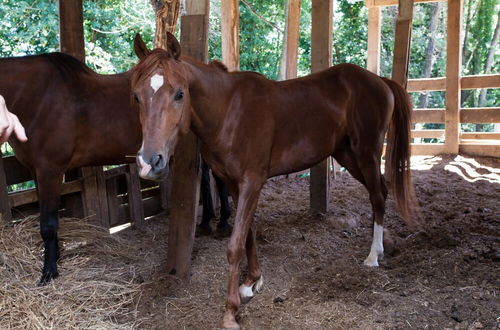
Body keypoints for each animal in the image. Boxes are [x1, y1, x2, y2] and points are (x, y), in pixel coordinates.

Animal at [0, 52, 230, 284]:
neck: (37, 97)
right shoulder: (37, 172)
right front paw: (55, 257)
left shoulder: (50, 171)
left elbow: (48, 224)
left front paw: (49, 272)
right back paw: (207, 222)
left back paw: (223, 224)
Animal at [133, 32, 418, 328]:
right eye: (136, 97)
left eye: (180, 93)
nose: (149, 162)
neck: (228, 112)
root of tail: (380, 81)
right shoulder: (233, 183)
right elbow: (248, 232)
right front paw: (252, 281)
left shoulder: (252, 181)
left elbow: (235, 244)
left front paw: (231, 311)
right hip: (346, 154)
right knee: (381, 191)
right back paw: (382, 248)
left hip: (367, 153)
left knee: (378, 196)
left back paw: (373, 255)